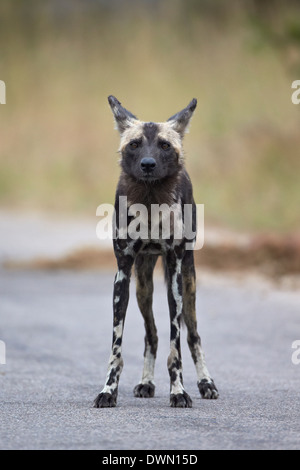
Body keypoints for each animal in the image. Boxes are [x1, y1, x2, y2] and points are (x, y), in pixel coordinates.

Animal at [95, 95, 219, 408]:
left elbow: (177, 347)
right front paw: (108, 391)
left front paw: (179, 392)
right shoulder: (123, 275)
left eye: (164, 145)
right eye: (134, 144)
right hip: (143, 287)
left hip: (188, 282)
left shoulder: (175, 275)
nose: (148, 164)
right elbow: (116, 349)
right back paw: (146, 382)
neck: (150, 203)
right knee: (151, 335)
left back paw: (206, 383)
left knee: (193, 336)